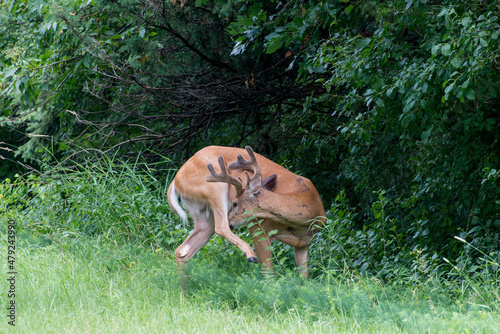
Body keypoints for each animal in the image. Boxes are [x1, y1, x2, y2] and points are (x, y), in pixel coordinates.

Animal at [166, 145, 326, 290]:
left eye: (235, 203)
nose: (232, 221)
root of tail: (175, 181)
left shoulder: (303, 244)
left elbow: (305, 278)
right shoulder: (260, 229)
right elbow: (268, 273)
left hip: (203, 216)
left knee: (183, 251)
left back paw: (185, 295)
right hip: (214, 187)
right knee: (221, 227)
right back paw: (249, 254)